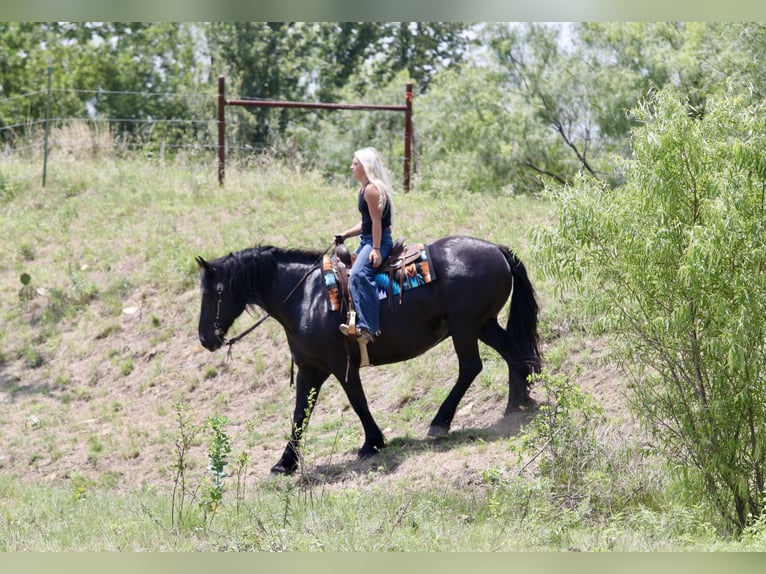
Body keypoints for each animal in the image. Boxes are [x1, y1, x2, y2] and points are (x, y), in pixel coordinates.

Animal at [196, 235, 542, 475]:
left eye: (211, 292)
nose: (205, 339)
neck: (306, 297)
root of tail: (496, 249)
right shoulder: (309, 369)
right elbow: (299, 415)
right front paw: (285, 463)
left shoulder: (340, 366)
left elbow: (357, 401)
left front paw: (372, 442)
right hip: (484, 324)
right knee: (514, 355)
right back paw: (515, 405)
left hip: (466, 327)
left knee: (471, 366)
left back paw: (441, 421)